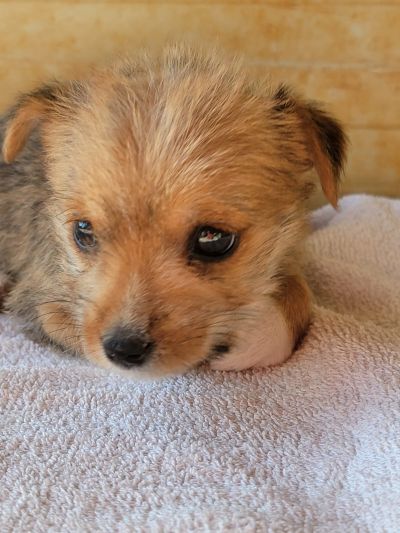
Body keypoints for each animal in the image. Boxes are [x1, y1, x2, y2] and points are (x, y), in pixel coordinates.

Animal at [0, 45, 346, 378]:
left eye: (213, 240)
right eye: (82, 231)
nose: (123, 349)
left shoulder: (287, 255)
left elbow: (301, 297)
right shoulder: (42, 300)